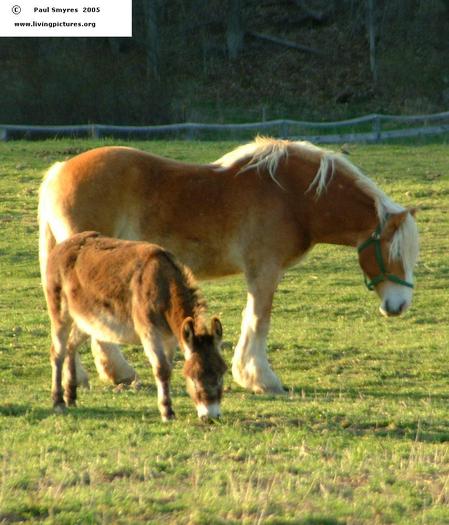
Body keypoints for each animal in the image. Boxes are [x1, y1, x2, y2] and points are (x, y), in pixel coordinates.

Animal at [37, 139, 416, 392]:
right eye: (394, 252)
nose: (399, 306)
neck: (294, 196)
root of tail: (58, 171)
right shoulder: (264, 270)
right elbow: (259, 321)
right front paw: (261, 378)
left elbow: (252, 318)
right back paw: (117, 373)